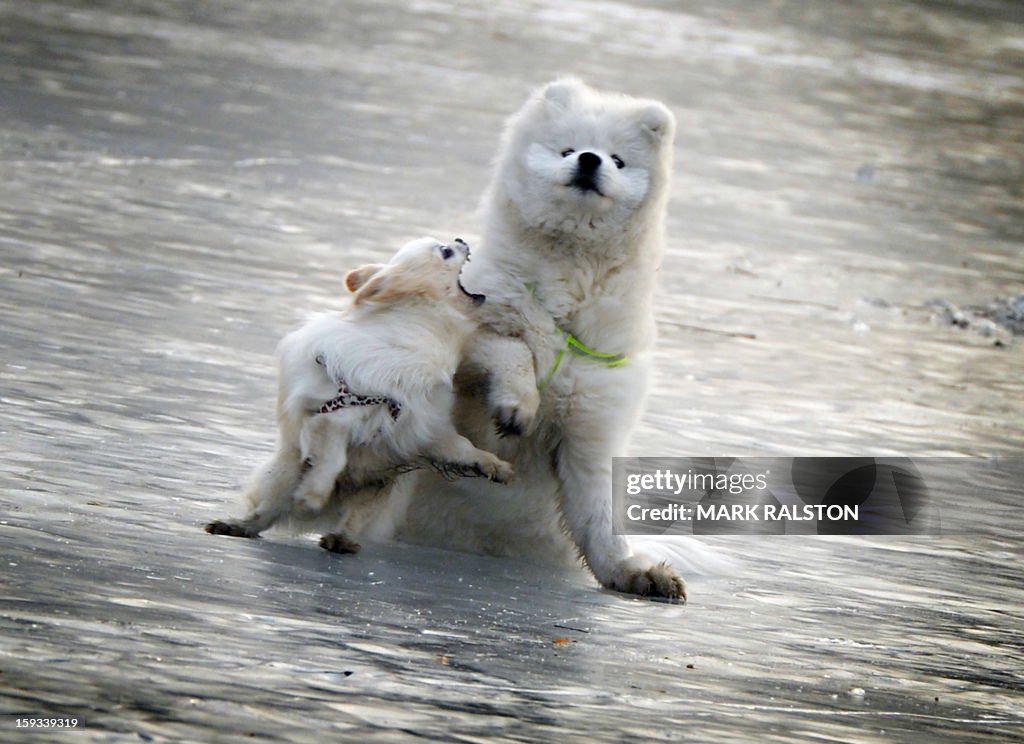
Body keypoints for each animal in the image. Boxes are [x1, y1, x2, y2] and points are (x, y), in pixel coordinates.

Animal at [205, 235, 512, 548]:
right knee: (265, 511)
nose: (461, 239)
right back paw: (239, 525)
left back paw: (342, 540)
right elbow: (333, 457)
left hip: (379, 485)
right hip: (285, 473)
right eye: (446, 252)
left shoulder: (422, 430)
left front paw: (492, 465)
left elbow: (463, 445)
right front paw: (313, 493)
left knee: (355, 515)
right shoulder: (334, 417)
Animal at [352, 81, 688, 601]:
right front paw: (518, 405)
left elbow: (597, 513)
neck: (564, 288)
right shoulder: (470, 344)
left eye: (618, 159)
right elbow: (511, 348)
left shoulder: (591, 426)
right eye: (567, 149)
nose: (589, 160)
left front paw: (632, 572)